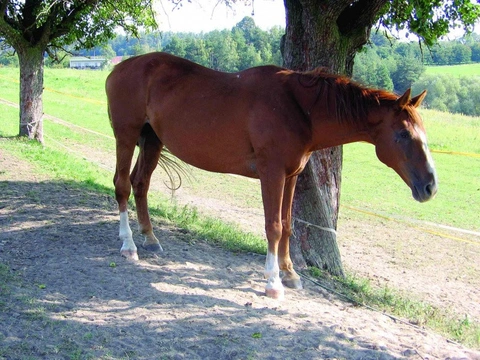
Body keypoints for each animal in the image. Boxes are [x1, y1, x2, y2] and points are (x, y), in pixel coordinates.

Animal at [107, 50, 436, 298]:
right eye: (403, 135)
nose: (430, 186)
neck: (298, 108)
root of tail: (119, 69)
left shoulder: (291, 176)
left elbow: (288, 226)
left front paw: (290, 273)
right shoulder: (272, 174)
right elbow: (273, 227)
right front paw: (273, 282)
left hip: (152, 140)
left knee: (141, 184)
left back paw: (150, 238)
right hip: (126, 136)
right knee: (122, 186)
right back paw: (128, 245)